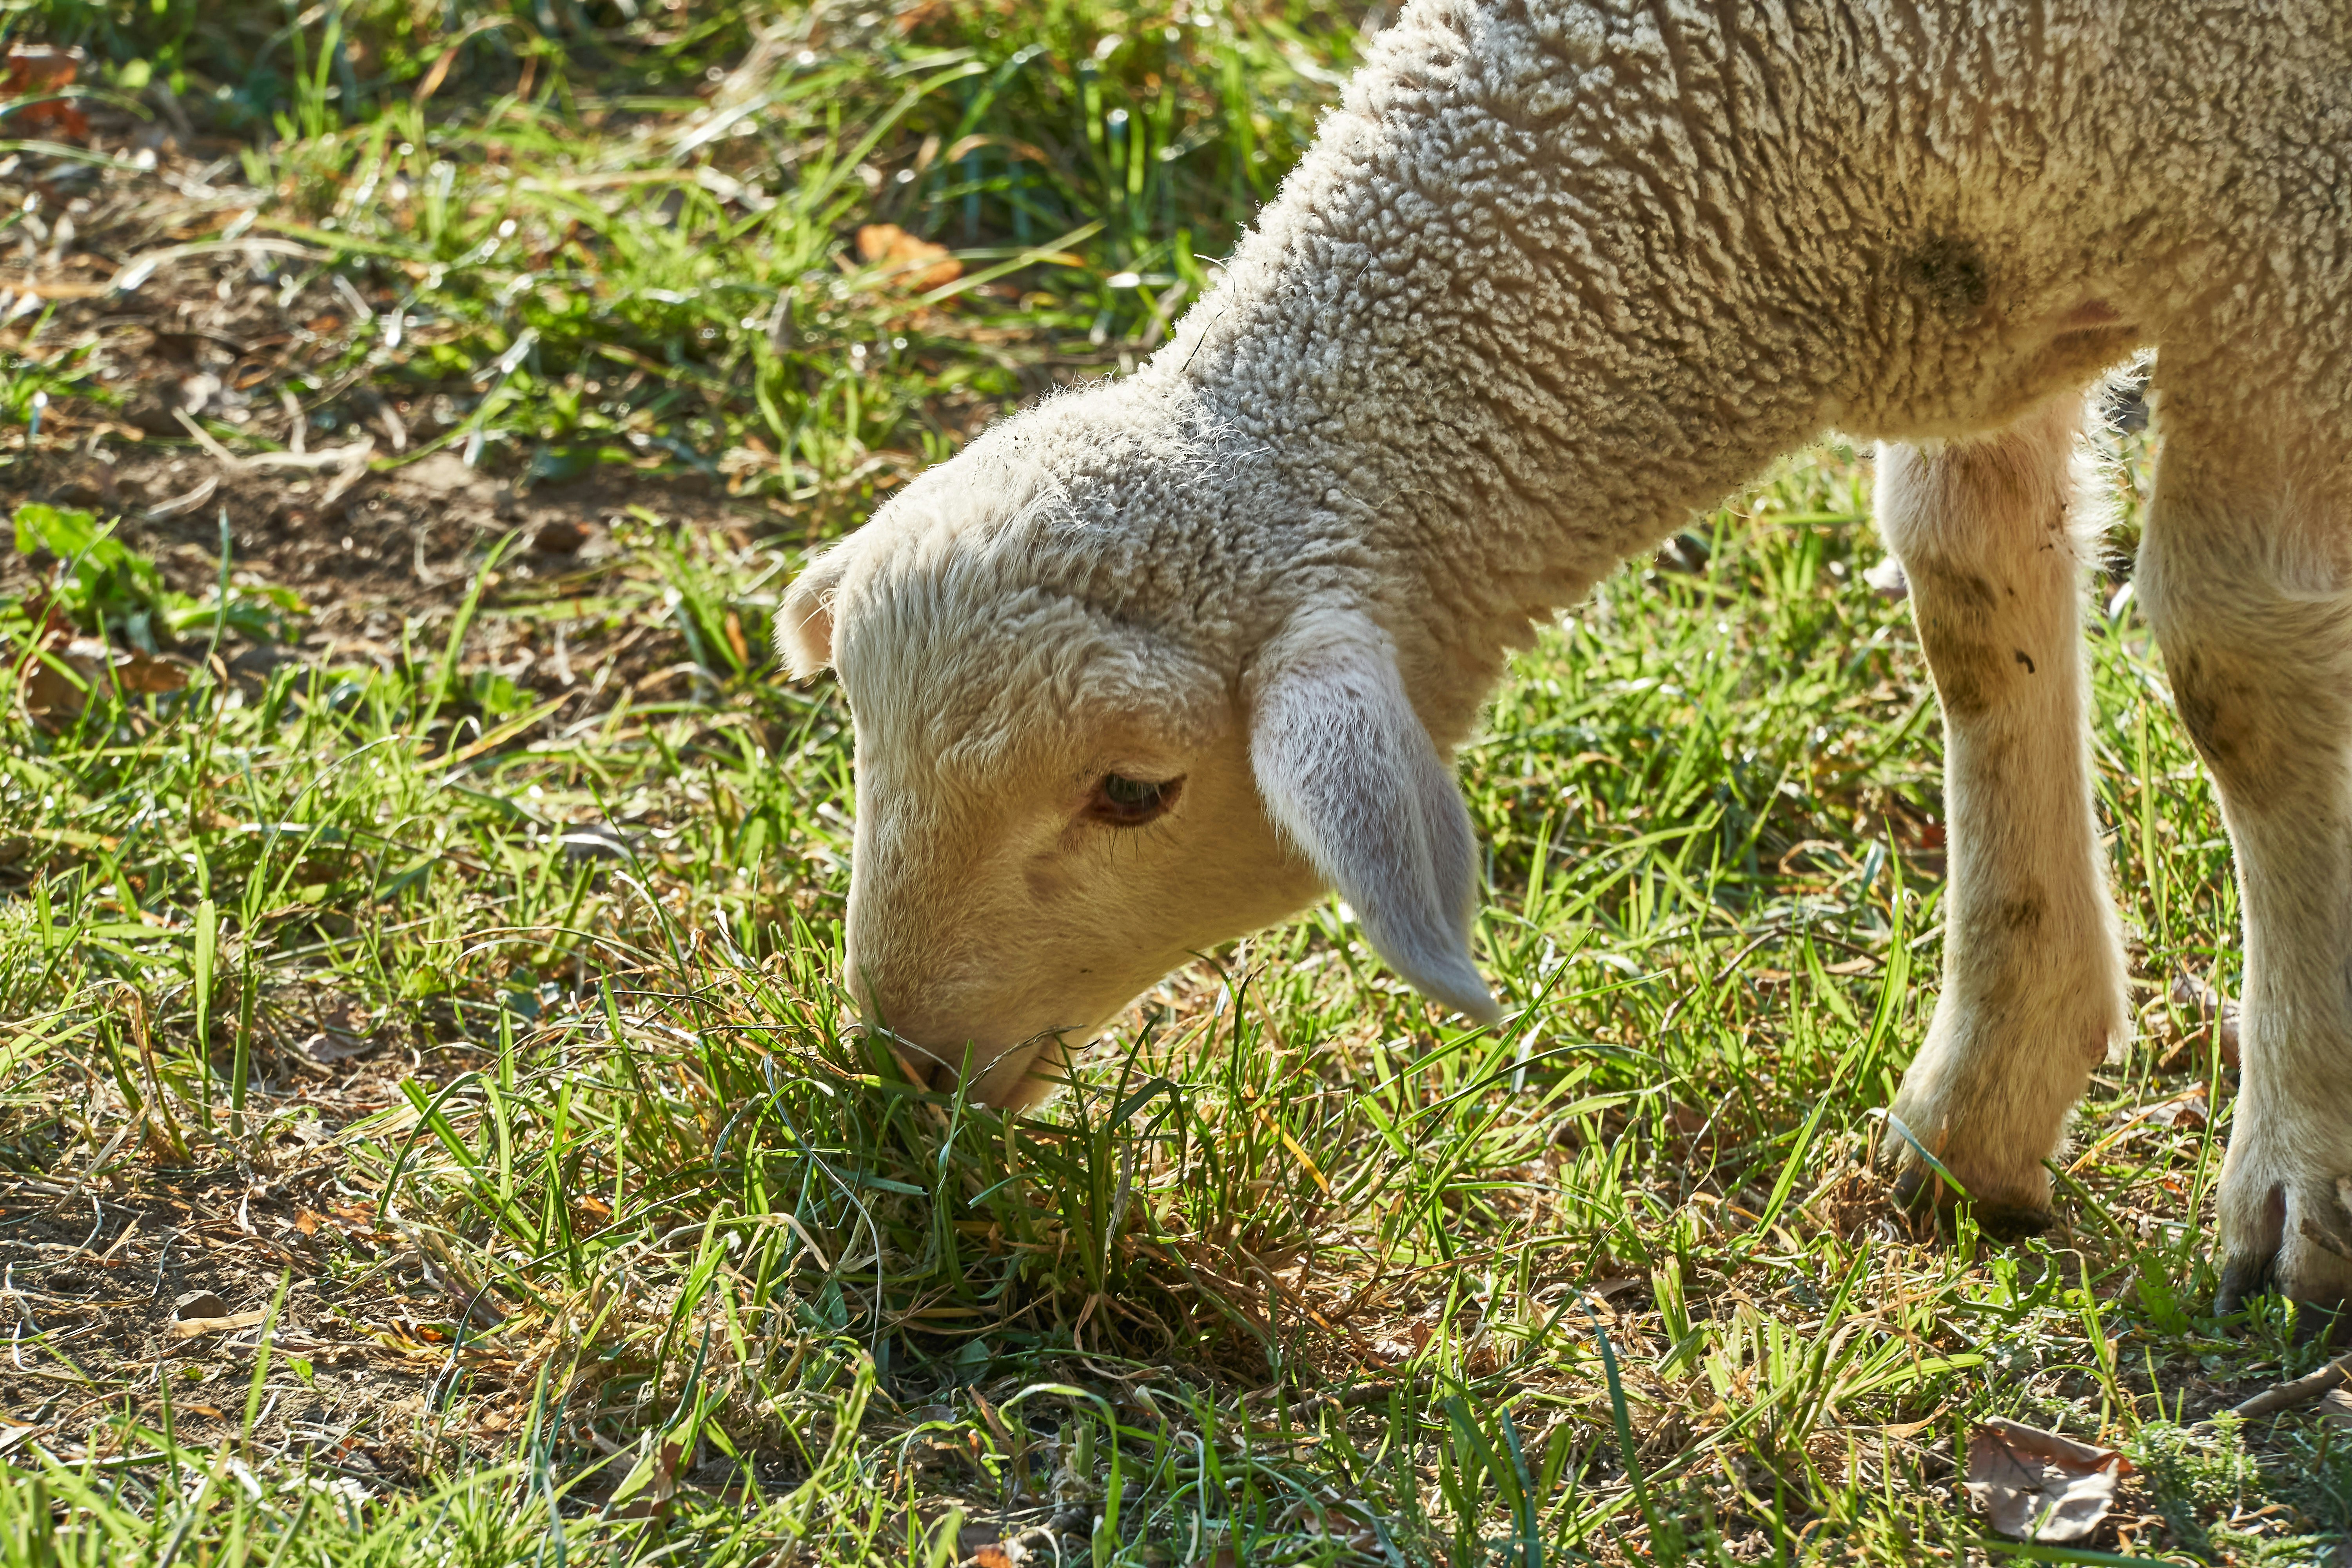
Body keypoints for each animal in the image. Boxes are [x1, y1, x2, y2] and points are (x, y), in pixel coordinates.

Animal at [780, 0, 2352, 1322]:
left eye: (1131, 792)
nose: (902, 1059)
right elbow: (1973, 599)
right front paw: (1979, 1111)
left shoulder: (2287, 224)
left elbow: (2238, 666)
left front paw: (2302, 1177)